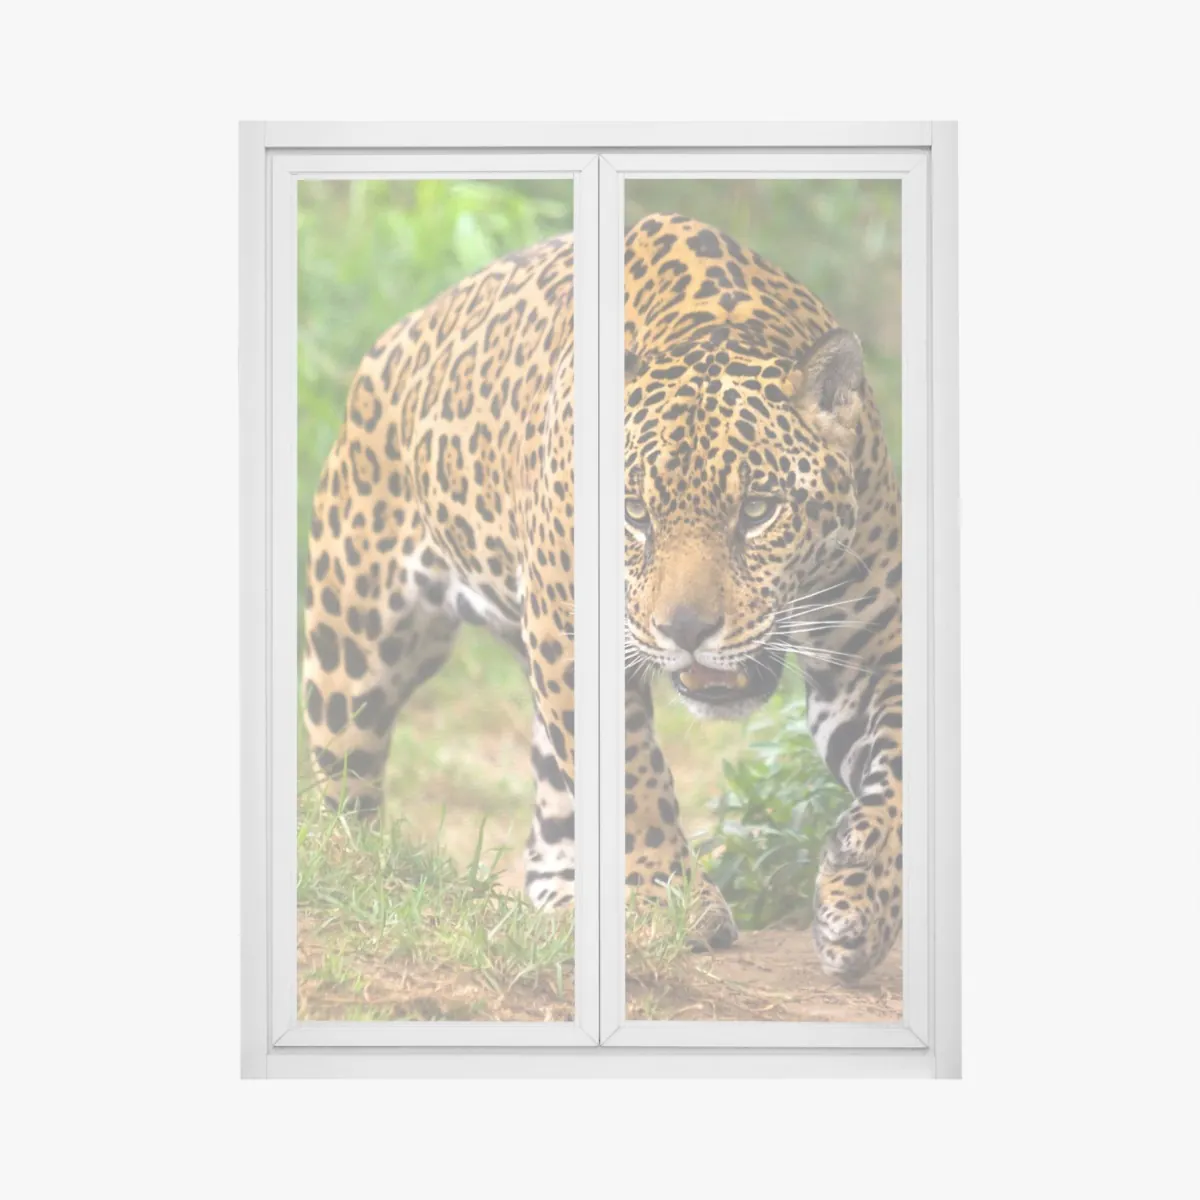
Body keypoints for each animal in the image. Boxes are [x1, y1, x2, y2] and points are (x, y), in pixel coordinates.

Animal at [302, 212, 903, 982]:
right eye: (635, 514)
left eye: (759, 510)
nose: (686, 629)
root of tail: (398, 336)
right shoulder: (573, 640)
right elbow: (632, 782)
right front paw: (674, 899)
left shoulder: (871, 654)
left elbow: (901, 777)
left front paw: (860, 902)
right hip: (354, 648)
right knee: (344, 786)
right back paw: (357, 873)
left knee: (553, 812)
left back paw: (567, 899)